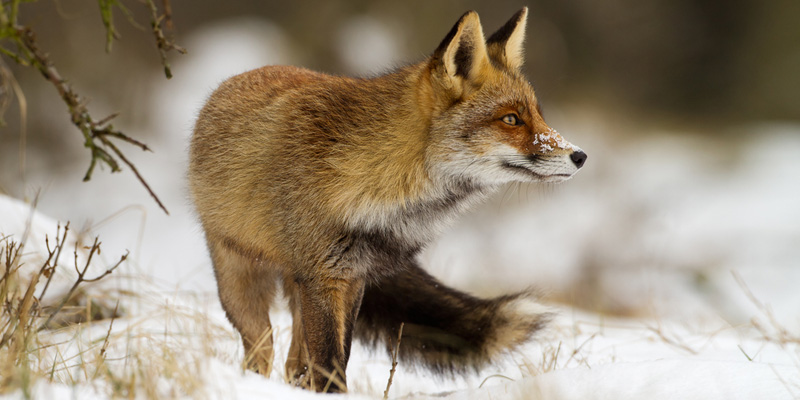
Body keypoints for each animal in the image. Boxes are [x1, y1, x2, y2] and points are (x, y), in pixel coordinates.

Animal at [188, 6, 588, 394]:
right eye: (511, 120)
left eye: (538, 116)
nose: (581, 156)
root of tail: (231, 81)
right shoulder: (323, 278)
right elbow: (330, 365)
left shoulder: (352, 279)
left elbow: (339, 356)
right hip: (241, 283)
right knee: (261, 351)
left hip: (297, 290)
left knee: (293, 363)